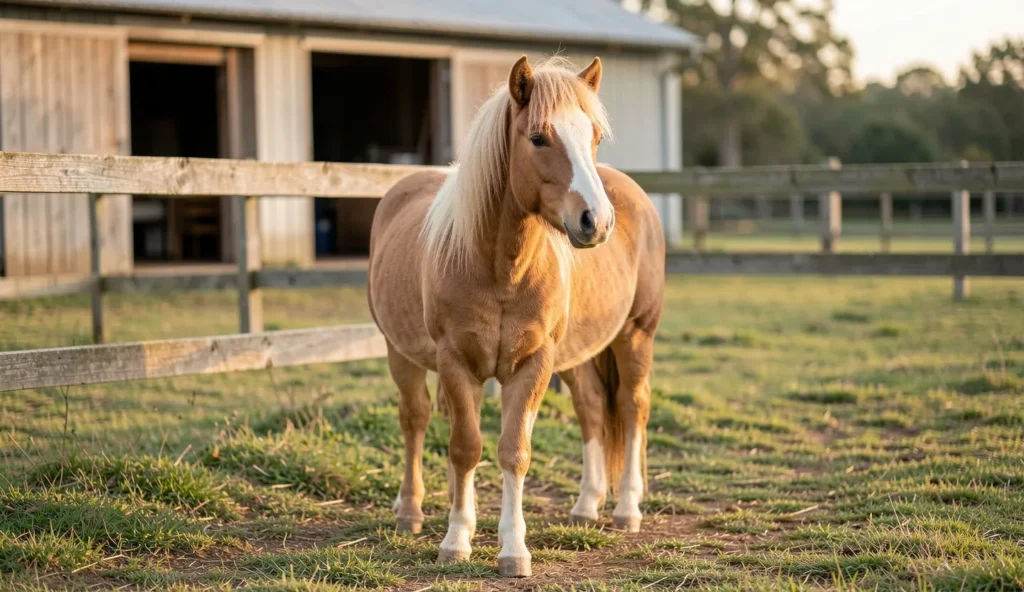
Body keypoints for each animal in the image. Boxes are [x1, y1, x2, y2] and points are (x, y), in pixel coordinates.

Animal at [367, 55, 665, 578]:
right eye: (539, 138)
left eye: (594, 136)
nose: (596, 221)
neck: (500, 267)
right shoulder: (456, 362)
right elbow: (465, 447)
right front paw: (457, 538)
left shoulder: (533, 363)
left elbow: (514, 452)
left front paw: (512, 549)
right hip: (405, 353)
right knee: (419, 418)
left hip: (634, 335)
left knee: (631, 407)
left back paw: (626, 508)